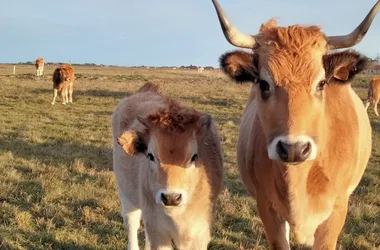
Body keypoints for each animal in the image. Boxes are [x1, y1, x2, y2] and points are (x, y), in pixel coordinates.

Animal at [110, 82, 223, 250]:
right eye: (150, 155)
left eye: (194, 156)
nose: (171, 197)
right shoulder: (158, 229)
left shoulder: (200, 233)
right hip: (126, 195)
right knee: (132, 223)